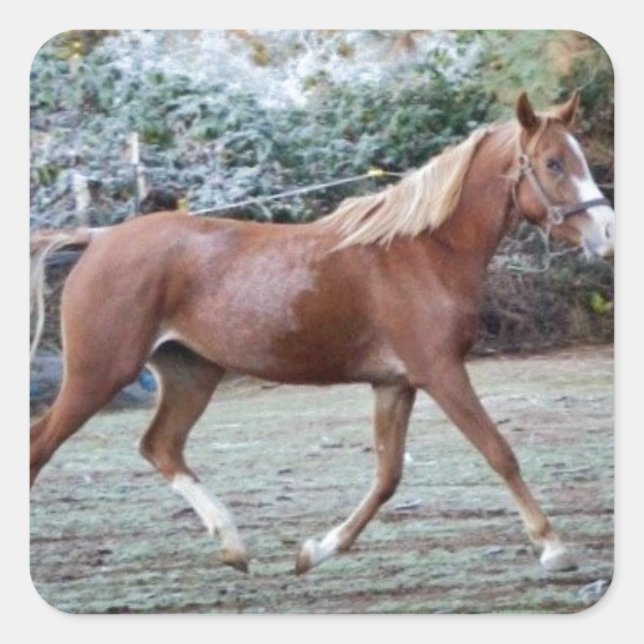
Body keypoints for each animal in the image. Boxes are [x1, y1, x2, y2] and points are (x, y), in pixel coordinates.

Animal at [30, 92, 614, 575]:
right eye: (553, 163)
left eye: (578, 157)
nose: (606, 233)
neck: (423, 252)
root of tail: (98, 239)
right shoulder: (441, 372)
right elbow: (498, 451)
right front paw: (554, 548)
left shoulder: (394, 384)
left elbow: (387, 477)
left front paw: (314, 551)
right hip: (99, 375)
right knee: (41, 446)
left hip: (191, 374)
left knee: (161, 448)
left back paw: (234, 546)